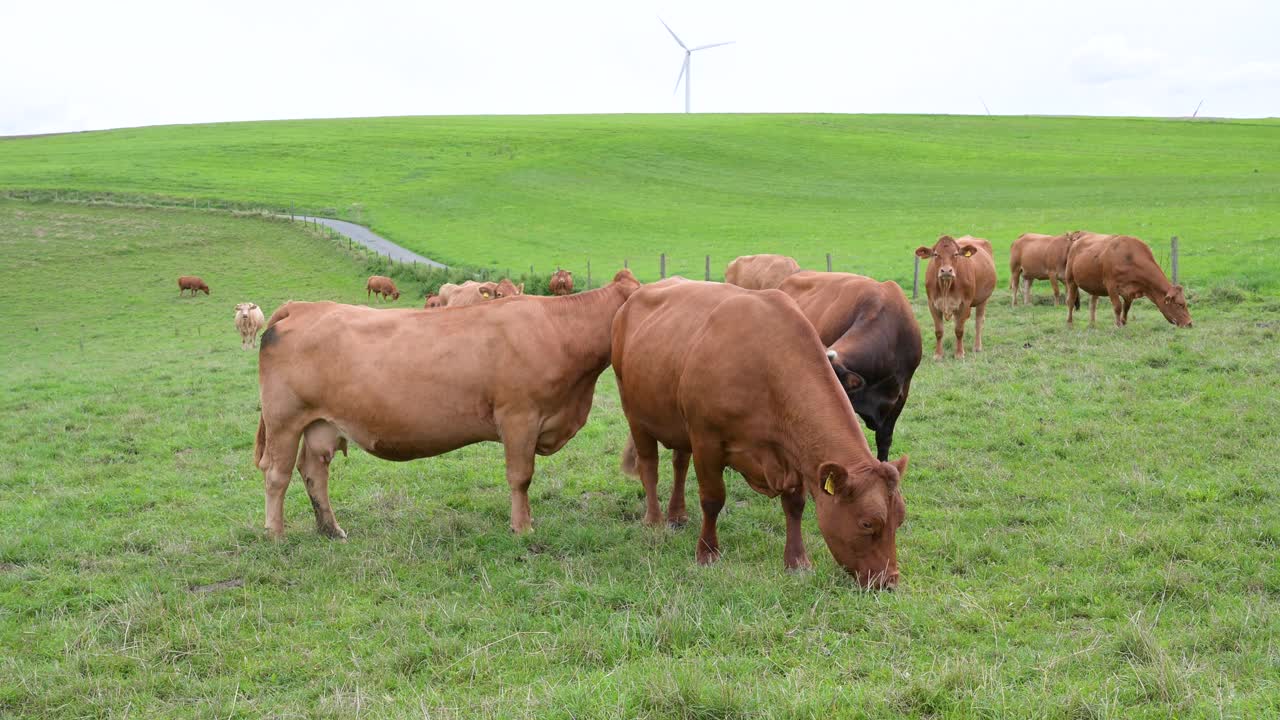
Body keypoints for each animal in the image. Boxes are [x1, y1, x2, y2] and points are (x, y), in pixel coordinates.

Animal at [250, 266, 640, 535]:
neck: (560, 330)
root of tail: (303, 307)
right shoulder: (519, 418)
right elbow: (520, 477)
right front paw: (523, 528)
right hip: (284, 421)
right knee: (277, 475)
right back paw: (276, 534)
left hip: (321, 425)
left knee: (313, 472)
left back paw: (331, 530)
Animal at [611, 278, 906, 586]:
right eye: (867, 523)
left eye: (900, 519)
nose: (890, 581)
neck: (766, 368)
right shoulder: (706, 441)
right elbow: (712, 499)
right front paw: (707, 553)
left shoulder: (793, 451)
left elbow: (795, 504)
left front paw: (797, 561)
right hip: (634, 412)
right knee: (649, 467)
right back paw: (654, 520)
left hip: (678, 423)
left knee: (679, 463)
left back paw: (677, 514)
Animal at [1059, 234, 1187, 326]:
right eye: (1179, 304)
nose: (1189, 323)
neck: (1129, 257)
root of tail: (1077, 239)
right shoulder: (1111, 286)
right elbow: (1117, 307)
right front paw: (1118, 325)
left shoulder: (1129, 291)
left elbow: (1126, 308)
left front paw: (1124, 323)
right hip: (1071, 280)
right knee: (1070, 301)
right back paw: (1069, 323)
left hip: (1095, 286)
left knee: (1093, 304)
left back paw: (1092, 324)